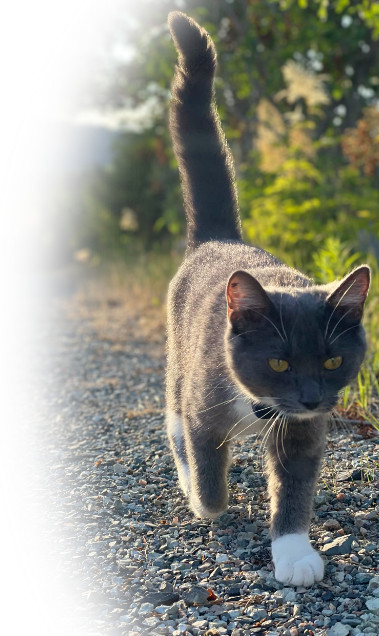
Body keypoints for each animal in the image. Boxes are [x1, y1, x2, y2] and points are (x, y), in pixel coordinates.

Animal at [165, 11, 370, 588]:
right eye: (278, 361)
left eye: (332, 361)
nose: (310, 398)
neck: (263, 408)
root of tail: (217, 238)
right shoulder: (206, 399)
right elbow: (208, 478)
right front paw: (204, 499)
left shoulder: (303, 431)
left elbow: (295, 485)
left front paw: (294, 553)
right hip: (179, 349)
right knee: (173, 410)